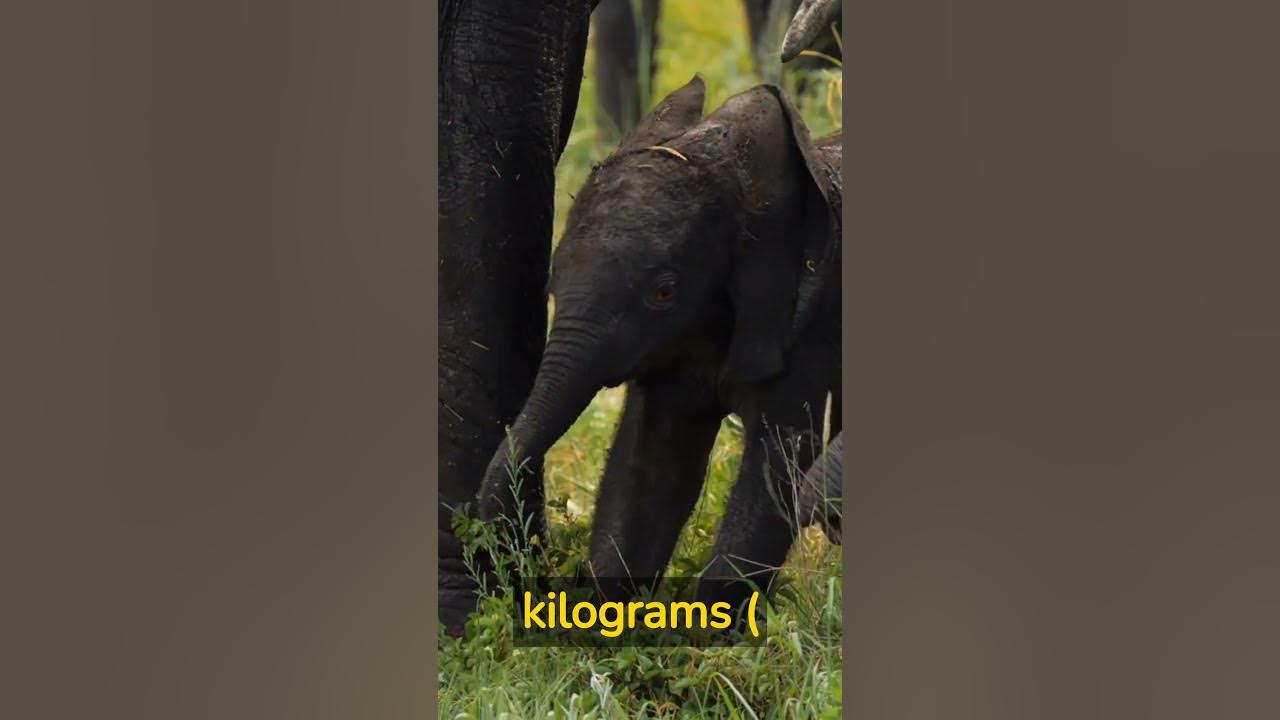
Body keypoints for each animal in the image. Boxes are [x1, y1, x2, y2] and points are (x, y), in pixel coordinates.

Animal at [477, 76, 842, 612]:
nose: (521, 567)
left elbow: (776, 468)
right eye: (552, 280)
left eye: (664, 292)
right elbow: (651, 467)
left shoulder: (815, 325)